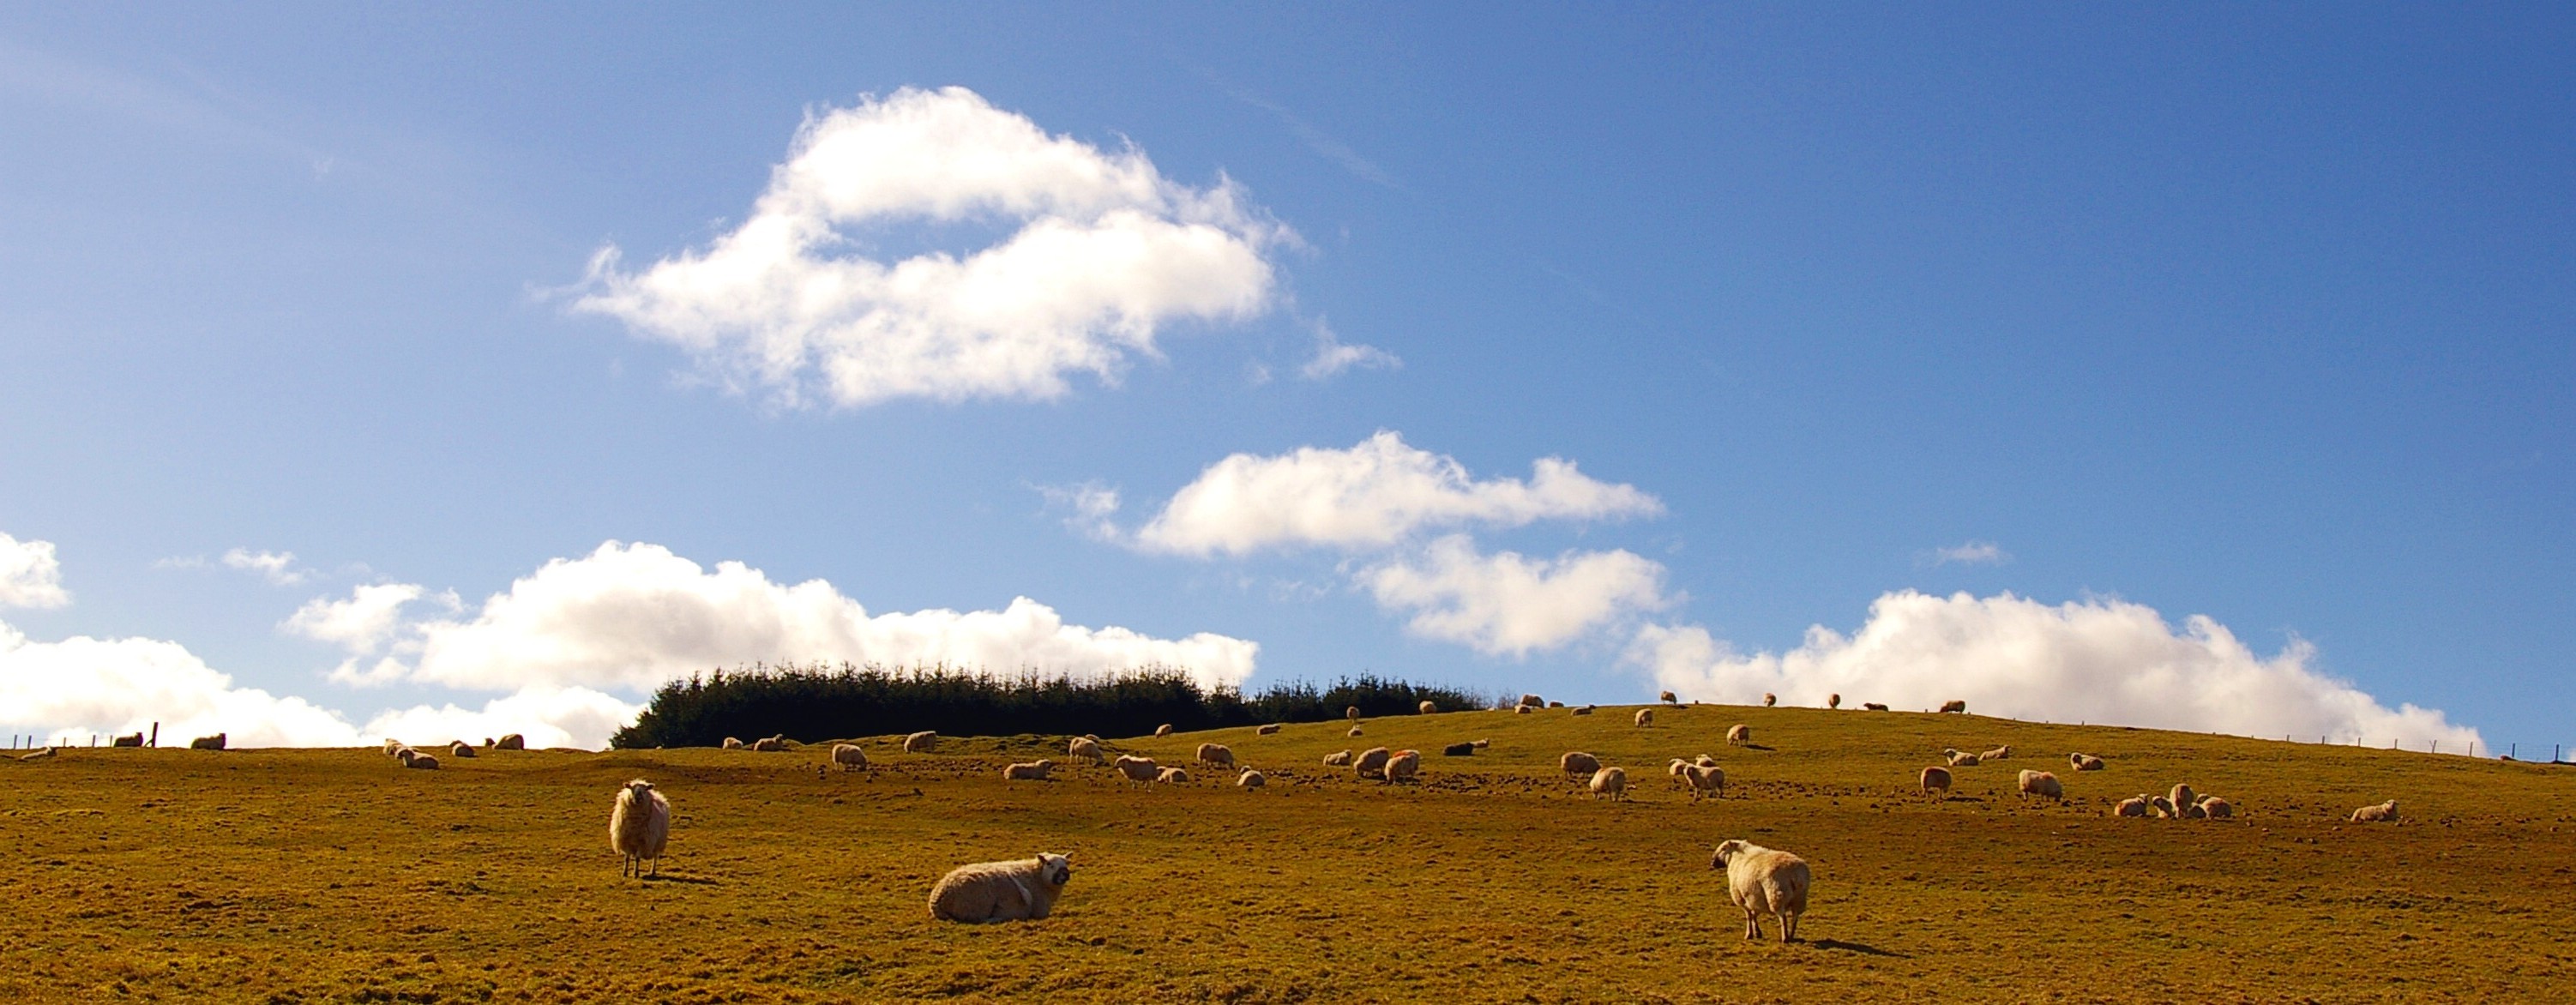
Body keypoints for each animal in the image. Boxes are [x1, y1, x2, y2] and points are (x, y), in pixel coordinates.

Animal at [922, 850, 1071, 922]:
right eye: (1049, 864)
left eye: (1066, 862)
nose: (1065, 874)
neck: (1037, 876)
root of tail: (939, 898)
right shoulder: (1040, 912)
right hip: (977, 906)